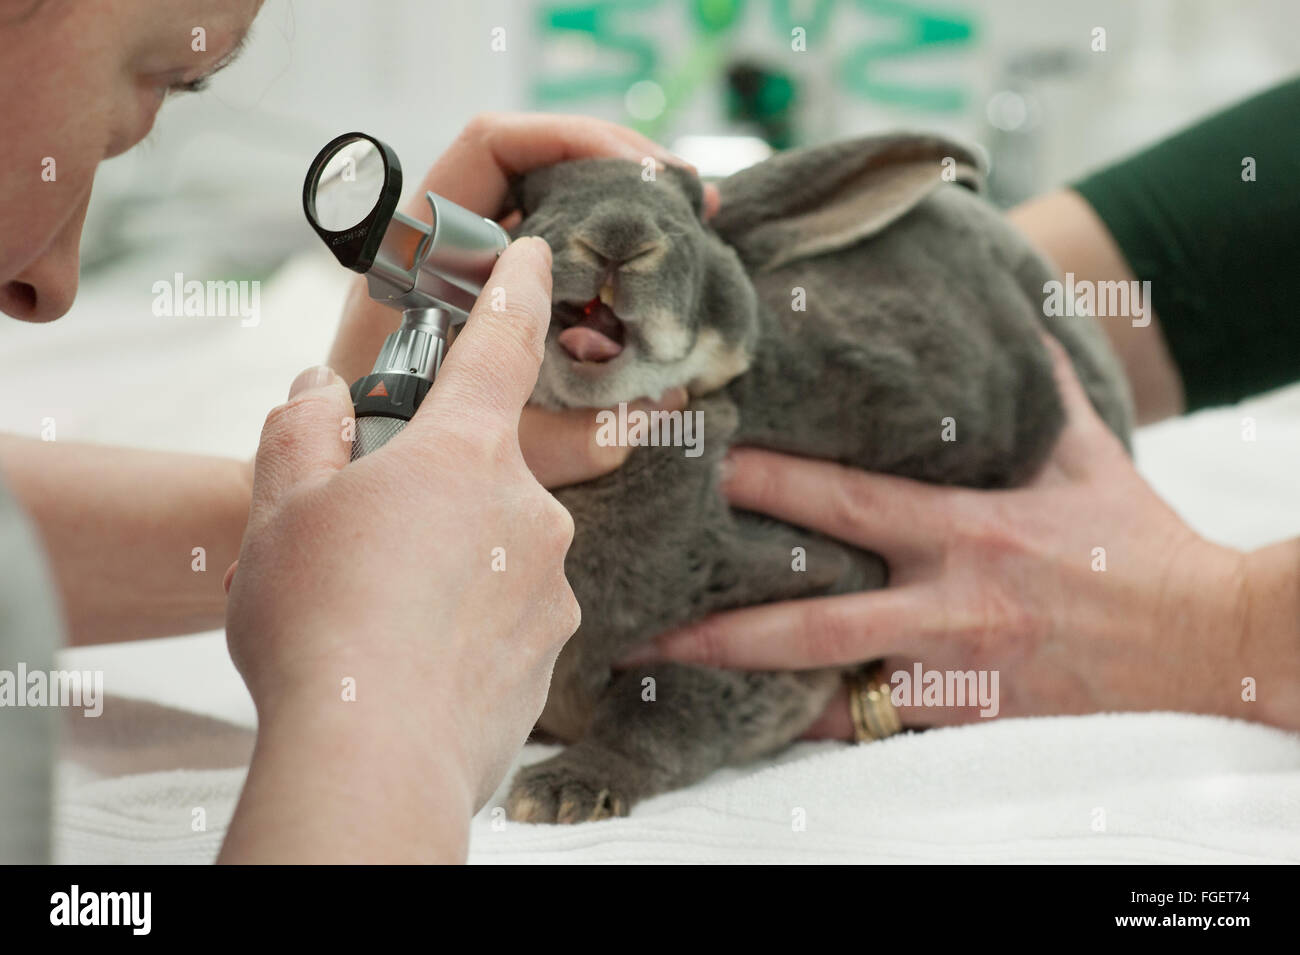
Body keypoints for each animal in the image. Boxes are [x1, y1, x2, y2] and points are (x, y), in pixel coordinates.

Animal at [501, 130, 1133, 826]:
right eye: (523, 200)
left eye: (694, 207)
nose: (620, 237)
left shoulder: (785, 619)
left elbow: (660, 711)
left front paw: (561, 791)